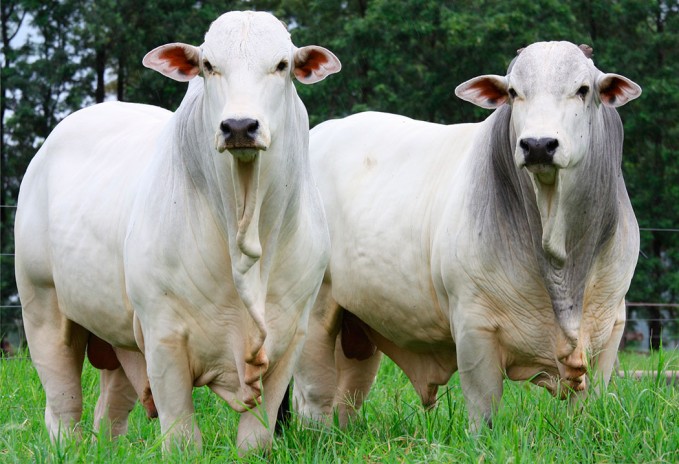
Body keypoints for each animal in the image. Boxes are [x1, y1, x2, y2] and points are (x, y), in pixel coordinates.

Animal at [17, 10, 340, 452]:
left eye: (281, 65)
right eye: (208, 65)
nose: (239, 126)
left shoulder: (289, 337)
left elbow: (256, 437)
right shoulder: (163, 337)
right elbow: (183, 436)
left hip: (119, 335)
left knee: (110, 411)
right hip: (42, 306)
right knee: (63, 406)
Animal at [294, 41, 644, 434]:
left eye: (583, 89)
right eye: (513, 92)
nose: (538, 145)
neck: (561, 262)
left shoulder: (609, 329)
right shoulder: (474, 329)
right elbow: (484, 411)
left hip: (356, 327)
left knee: (348, 396)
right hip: (315, 311)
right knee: (313, 397)